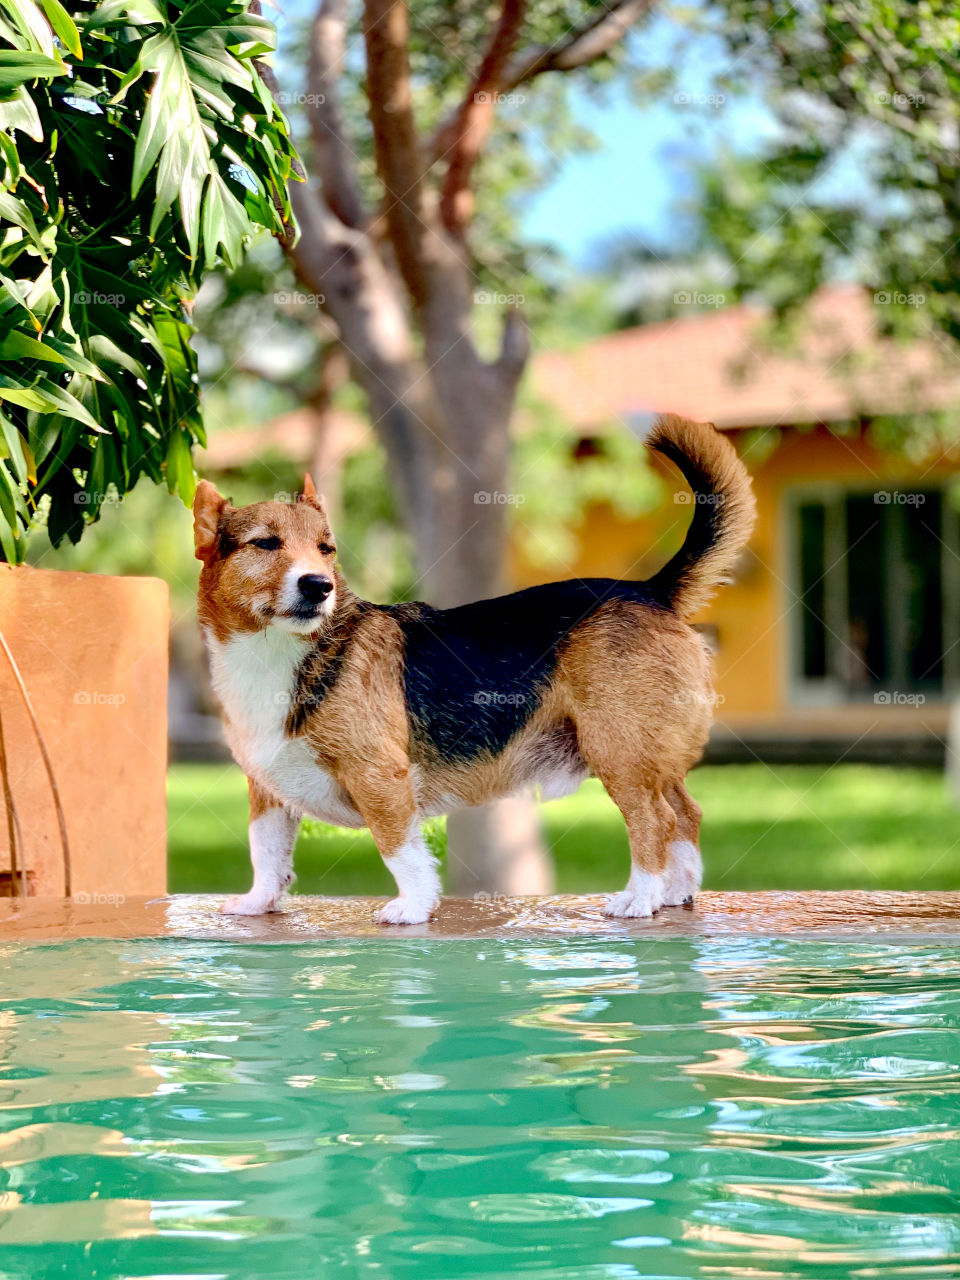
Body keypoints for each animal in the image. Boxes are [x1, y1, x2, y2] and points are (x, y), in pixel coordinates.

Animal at [192, 414, 757, 926]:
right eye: (266, 543)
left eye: (325, 550)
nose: (319, 586)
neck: (279, 651)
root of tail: (650, 590)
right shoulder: (267, 792)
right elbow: (266, 852)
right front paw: (258, 904)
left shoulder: (380, 779)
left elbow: (400, 851)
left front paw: (413, 908)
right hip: (646, 758)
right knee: (686, 814)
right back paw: (673, 893)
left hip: (618, 751)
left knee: (655, 820)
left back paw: (640, 898)